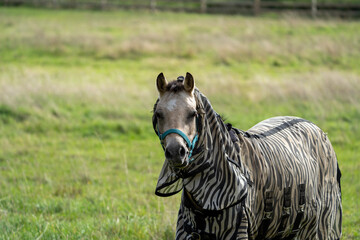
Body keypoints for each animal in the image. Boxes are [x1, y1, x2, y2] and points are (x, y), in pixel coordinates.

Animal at [150, 72, 342, 239]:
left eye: (192, 114)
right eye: (158, 114)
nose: (176, 152)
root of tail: (311, 125)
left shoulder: (237, 231)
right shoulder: (186, 231)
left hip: (320, 226)